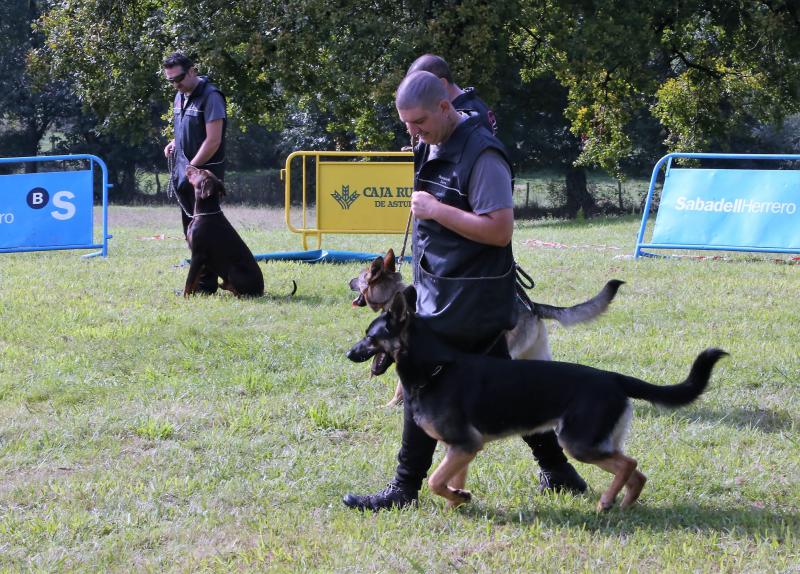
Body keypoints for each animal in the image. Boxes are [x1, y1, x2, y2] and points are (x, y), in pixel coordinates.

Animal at [183, 166, 264, 300]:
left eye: (200, 171)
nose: (188, 166)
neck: (205, 213)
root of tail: (261, 291)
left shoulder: (198, 254)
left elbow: (189, 280)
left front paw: (185, 297)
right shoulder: (201, 260)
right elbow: (194, 280)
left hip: (234, 269)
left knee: (243, 294)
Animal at [346, 288, 728, 512]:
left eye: (370, 337)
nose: (348, 354)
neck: (436, 368)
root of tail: (613, 377)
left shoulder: (466, 444)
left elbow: (435, 480)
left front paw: (456, 498)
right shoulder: (461, 448)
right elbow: (449, 480)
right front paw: (461, 501)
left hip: (578, 443)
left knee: (629, 463)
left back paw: (607, 500)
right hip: (594, 442)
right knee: (637, 473)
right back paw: (623, 505)